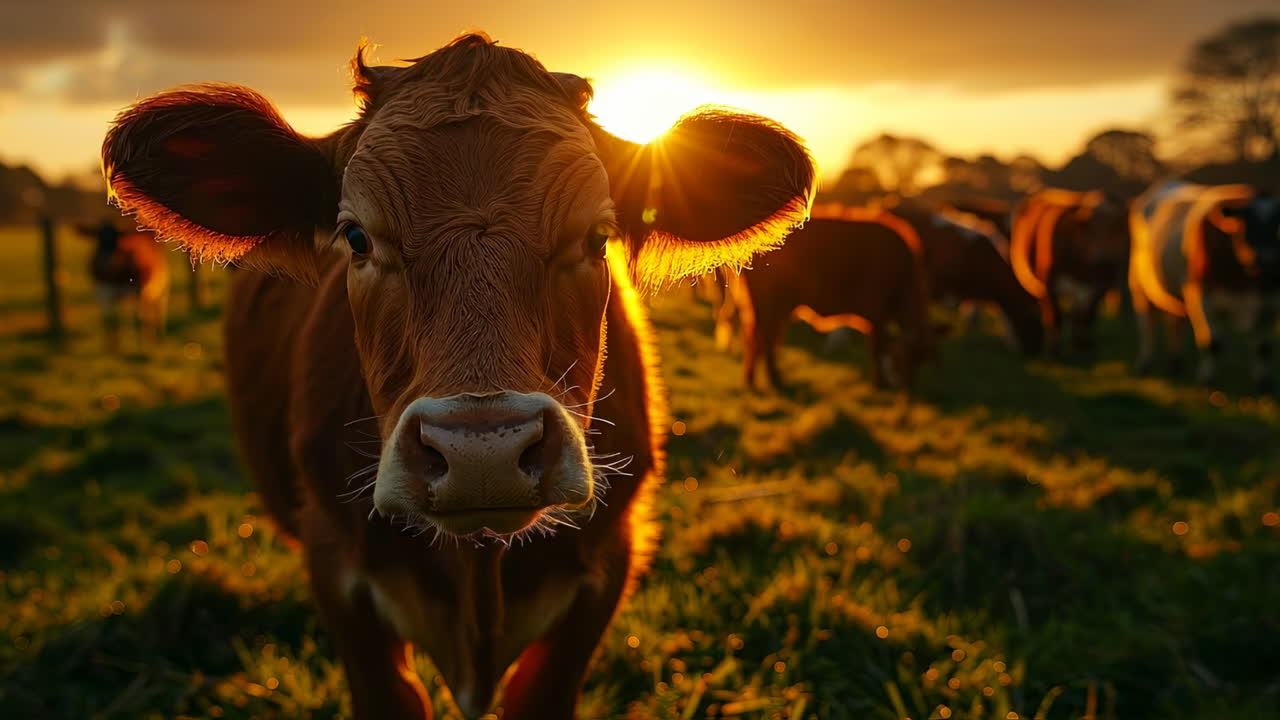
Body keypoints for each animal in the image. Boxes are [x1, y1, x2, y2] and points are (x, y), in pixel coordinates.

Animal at [76, 219, 170, 349]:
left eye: (117, 239)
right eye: (97, 239)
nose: (104, 260)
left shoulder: (136, 289)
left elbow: (137, 319)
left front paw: (140, 346)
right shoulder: (102, 290)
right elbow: (109, 318)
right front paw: (111, 346)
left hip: (160, 284)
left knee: (158, 310)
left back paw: (157, 338)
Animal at [732, 207, 935, 391]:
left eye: (923, 360)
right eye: (905, 358)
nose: (908, 388)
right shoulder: (877, 314)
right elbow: (878, 349)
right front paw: (879, 383)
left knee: (757, 340)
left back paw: (751, 379)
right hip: (770, 305)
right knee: (765, 340)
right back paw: (775, 380)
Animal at [1009, 188, 1130, 355]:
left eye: (1118, 228)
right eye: (1088, 229)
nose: (1104, 262)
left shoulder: (1100, 287)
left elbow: (1088, 316)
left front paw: (1083, 344)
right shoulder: (1050, 284)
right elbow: (1057, 316)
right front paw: (1054, 349)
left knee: (1076, 314)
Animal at [1129, 180, 1279, 391]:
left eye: (1276, 227)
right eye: (1245, 224)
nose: (1268, 261)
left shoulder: (1269, 302)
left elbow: (1264, 348)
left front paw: (1263, 383)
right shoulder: (1202, 295)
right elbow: (1212, 342)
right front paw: (1207, 380)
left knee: (1175, 322)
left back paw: (1176, 363)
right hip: (1139, 285)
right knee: (1146, 326)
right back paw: (1144, 364)